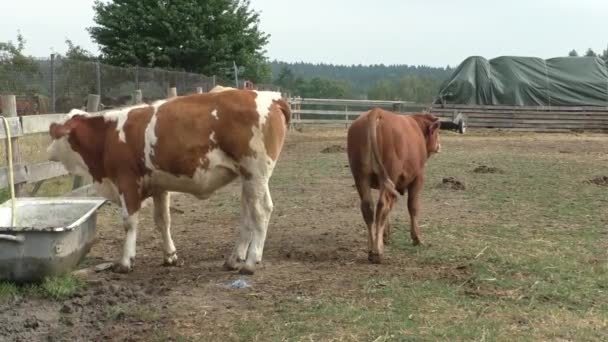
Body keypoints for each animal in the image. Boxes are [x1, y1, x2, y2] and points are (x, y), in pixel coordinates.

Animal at [47, 88, 290, 276]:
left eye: (54, 134)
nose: (47, 151)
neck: (108, 136)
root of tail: (272, 97)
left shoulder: (127, 182)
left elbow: (129, 223)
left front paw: (125, 262)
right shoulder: (159, 187)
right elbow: (163, 221)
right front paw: (170, 256)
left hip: (255, 173)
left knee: (261, 212)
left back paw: (250, 262)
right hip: (250, 178)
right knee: (250, 214)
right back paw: (234, 259)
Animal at [346, 108, 442, 264]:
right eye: (437, 132)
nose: (439, 145)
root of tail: (376, 111)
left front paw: (385, 236)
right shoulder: (418, 177)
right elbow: (413, 207)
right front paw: (417, 238)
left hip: (361, 176)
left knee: (369, 208)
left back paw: (371, 249)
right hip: (388, 173)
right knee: (383, 205)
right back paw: (377, 252)